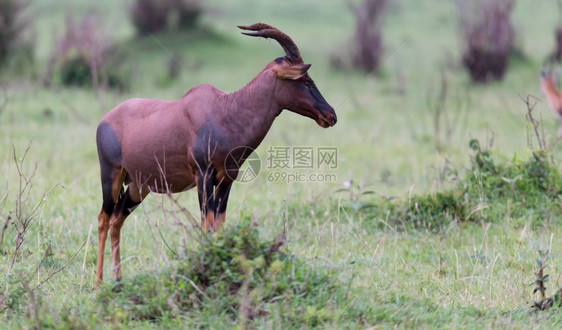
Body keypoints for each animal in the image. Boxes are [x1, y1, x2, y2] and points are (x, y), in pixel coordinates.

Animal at [94, 23, 334, 288]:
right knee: (103, 219)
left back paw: (118, 279)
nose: (330, 115)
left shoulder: (227, 180)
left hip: (138, 186)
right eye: (304, 80)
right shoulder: (203, 176)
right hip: (112, 175)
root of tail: (106, 119)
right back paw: (97, 283)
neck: (225, 111)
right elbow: (206, 224)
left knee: (117, 220)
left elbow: (219, 224)